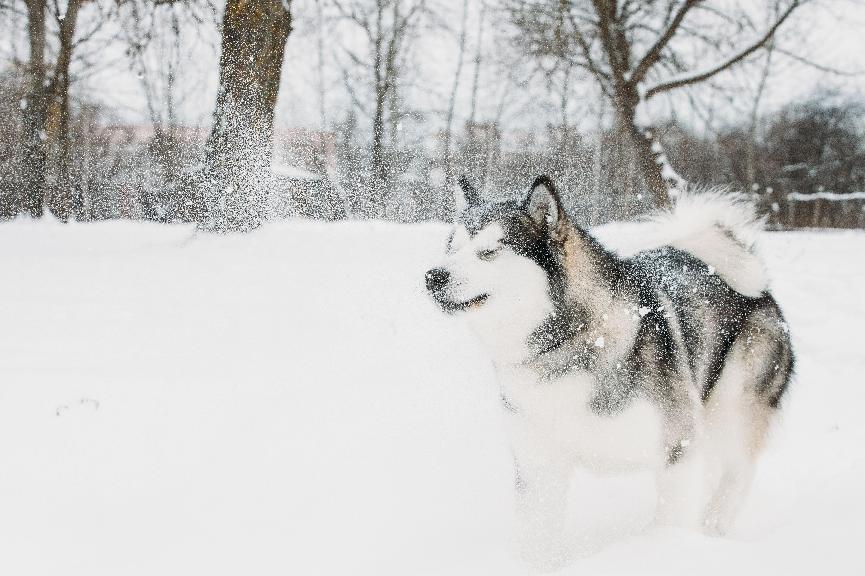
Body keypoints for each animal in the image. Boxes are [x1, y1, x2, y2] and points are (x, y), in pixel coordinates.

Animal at [424, 176, 788, 568]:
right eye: (452, 246)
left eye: (490, 251)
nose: (433, 276)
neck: (565, 345)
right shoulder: (538, 465)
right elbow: (538, 536)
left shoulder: (677, 450)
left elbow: (670, 520)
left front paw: (668, 549)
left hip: (732, 406)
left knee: (738, 470)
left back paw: (714, 524)